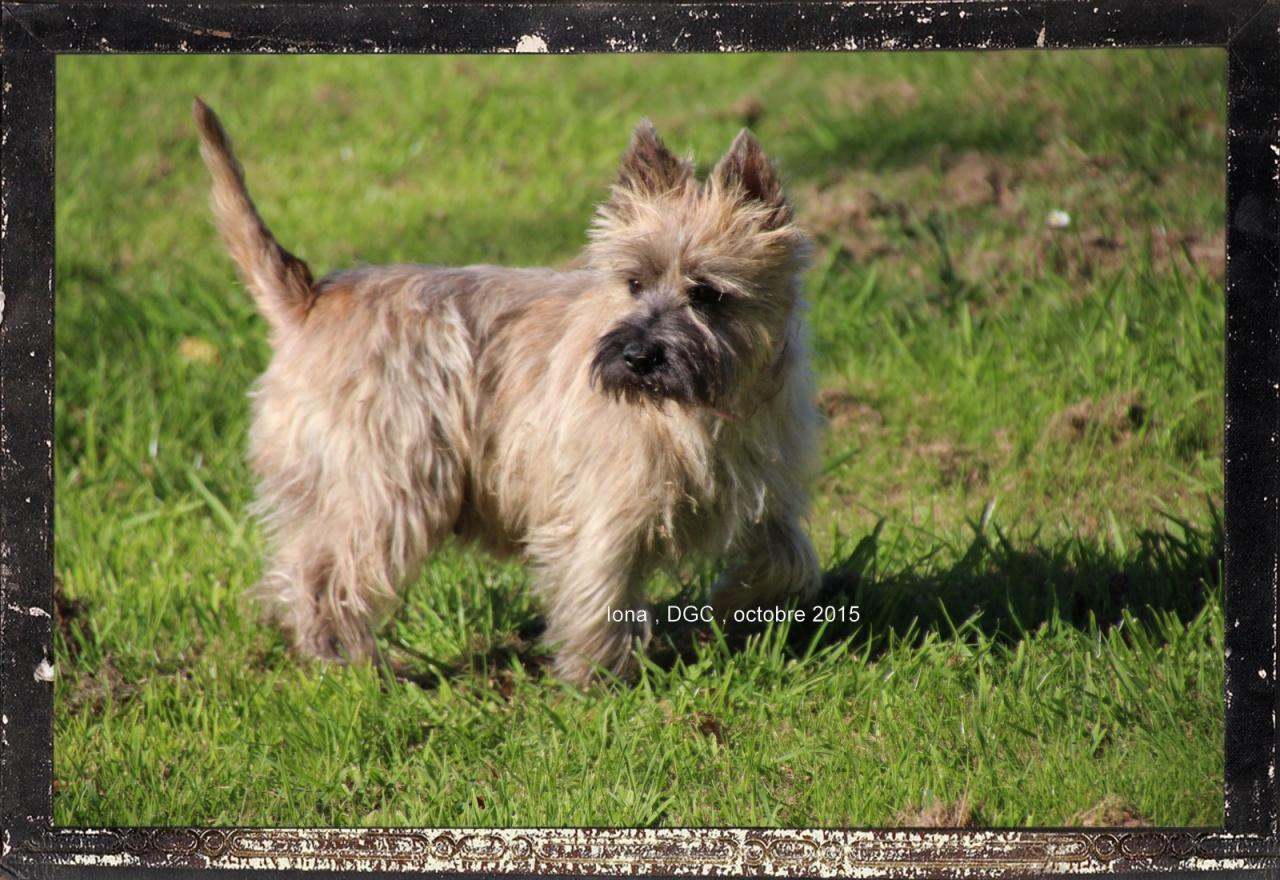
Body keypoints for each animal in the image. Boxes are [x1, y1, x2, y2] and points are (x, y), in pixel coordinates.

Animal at [194, 97, 824, 685]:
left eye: (709, 294)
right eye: (633, 282)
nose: (638, 356)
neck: (702, 412)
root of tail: (308, 301)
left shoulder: (766, 496)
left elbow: (791, 562)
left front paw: (729, 606)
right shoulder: (603, 509)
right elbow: (599, 588)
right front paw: (598, 681)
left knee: (296, 563)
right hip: (391, 486)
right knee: (326, 575)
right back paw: (355, 666)